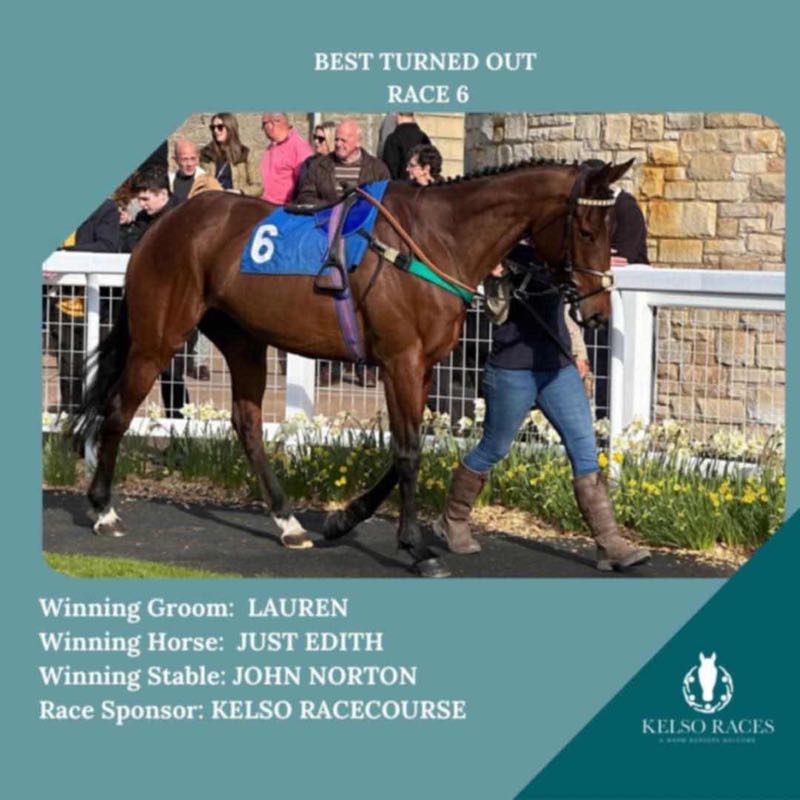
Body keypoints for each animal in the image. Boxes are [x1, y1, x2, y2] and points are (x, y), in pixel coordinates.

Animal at [71, 157, 633, 578]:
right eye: (586, 229)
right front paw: (417, 549)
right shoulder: (399, 360)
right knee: (118, 412)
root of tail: (166, 223)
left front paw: (344, 518)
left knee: (247, 424)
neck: (435, 239)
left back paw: (287, 522)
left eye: (613, 228)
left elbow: (403, 449)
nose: (598, 313)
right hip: (158, 337)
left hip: (243, 340)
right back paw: (103, 510)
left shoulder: (420, 366)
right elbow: (407, 453)